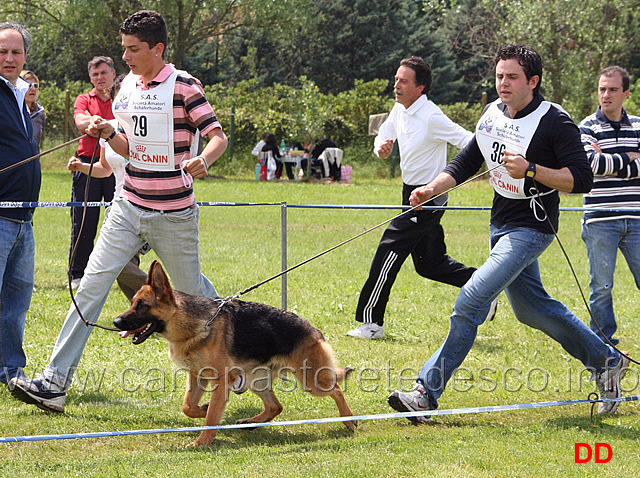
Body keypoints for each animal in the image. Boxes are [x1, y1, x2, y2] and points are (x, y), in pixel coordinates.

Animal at [115, 260, 356, 446]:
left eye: (142, 305)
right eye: (132, 303)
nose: (116, 322)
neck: (191, 324)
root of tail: (313, 330)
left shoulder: (220, 381)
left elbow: (212, 417)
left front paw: (202, 442)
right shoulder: (197, 376)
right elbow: (188, 407)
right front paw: (202, 409)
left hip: (311, 381)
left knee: (336, 389)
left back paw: (349, 419)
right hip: (255, 381)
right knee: (275, 406)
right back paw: (249, 422)